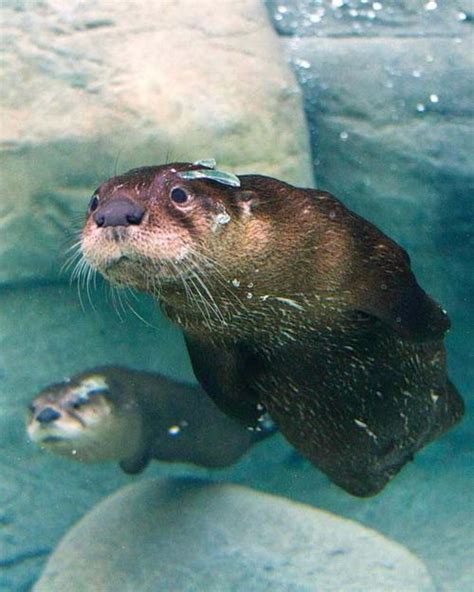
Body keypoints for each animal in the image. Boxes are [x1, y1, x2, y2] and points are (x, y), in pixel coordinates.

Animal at [78, 160, 462, 498]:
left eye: (179, 193)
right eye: (94, 199)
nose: (114, 213)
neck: (279, 302)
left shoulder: (359, 245)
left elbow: (402, 294)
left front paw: (437, 323)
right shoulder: (201, 334)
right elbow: (219, 386)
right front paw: (252, 416)